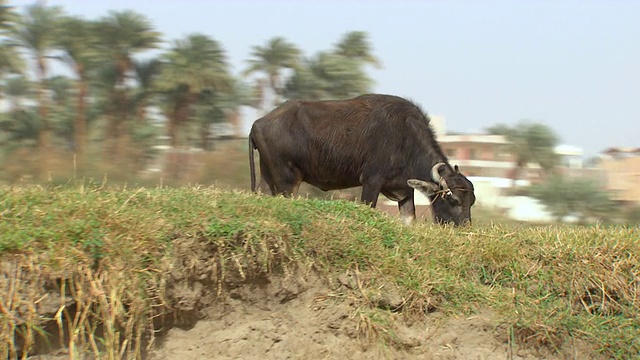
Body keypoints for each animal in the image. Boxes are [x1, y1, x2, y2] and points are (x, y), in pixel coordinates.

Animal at [249, 94, 476, 226]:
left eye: (471, 201)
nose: (463, 228)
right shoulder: (371, 181)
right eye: (454, 200)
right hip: (287, 181)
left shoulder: (404, 191)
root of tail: (258, 124)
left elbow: (408, 221)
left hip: (267, 178)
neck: (406, 139)